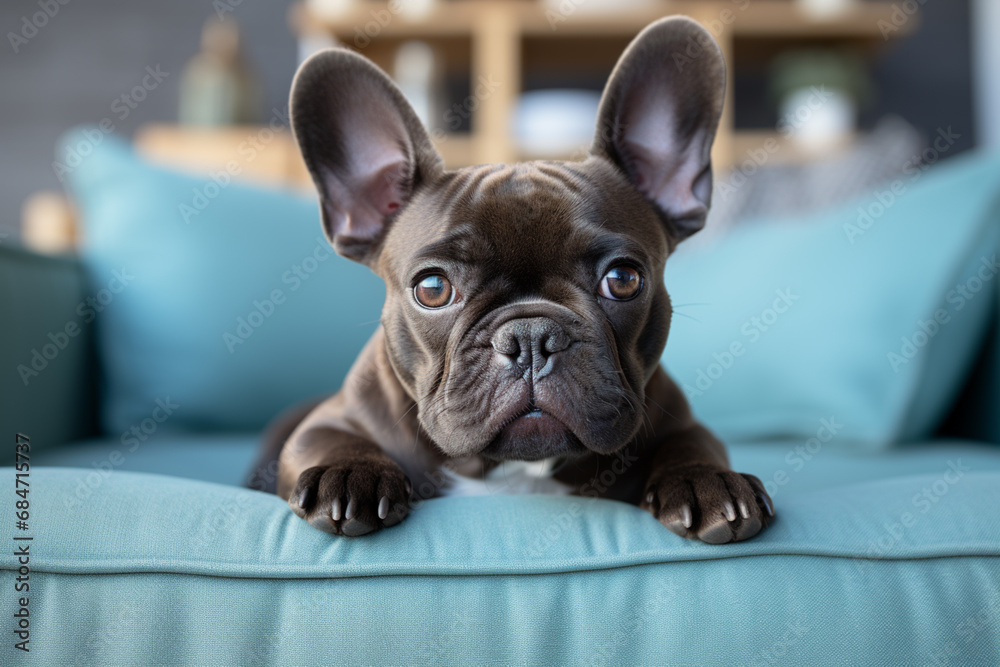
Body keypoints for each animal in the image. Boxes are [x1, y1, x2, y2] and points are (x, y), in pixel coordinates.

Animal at [264, 17, 772, 544]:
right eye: (432, 289)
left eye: (623, 279)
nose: (531, 337)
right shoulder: (323, 424)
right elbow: (327, 440)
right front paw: (348, 474)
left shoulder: (683, 422)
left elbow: (693, 442)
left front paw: (706, 481)